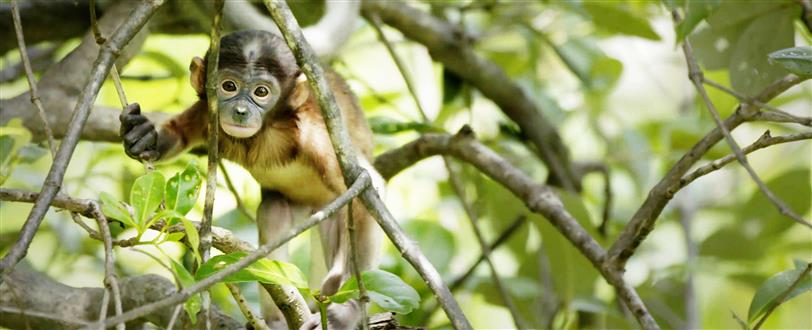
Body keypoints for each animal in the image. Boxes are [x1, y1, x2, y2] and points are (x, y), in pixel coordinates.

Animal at [120, 29, 384, 328]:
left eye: (261, 92)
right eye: (229, 86)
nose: (241, 111)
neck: (263, 133)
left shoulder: (315, 136)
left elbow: (368, 188)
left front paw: (348, 309)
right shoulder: (207, 113)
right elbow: (179, 133)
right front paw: (143, 135)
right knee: (272, 211)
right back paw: (276, 319)